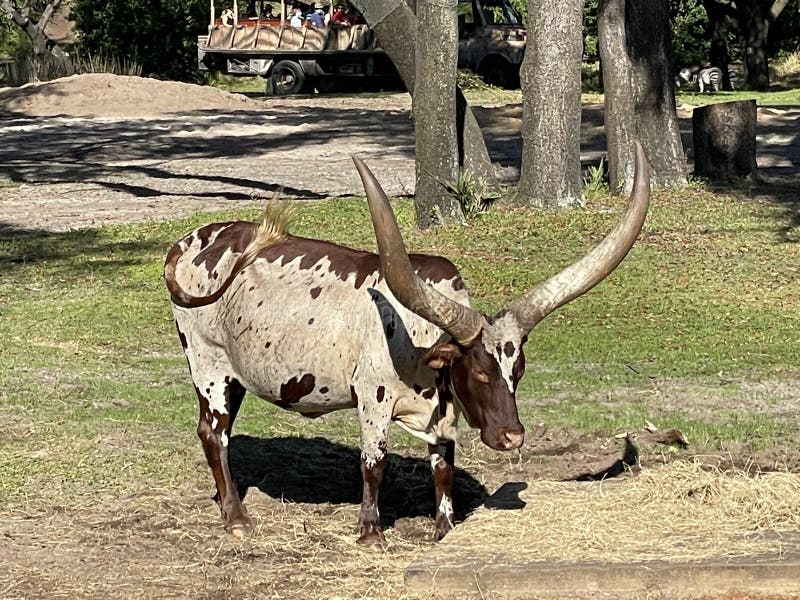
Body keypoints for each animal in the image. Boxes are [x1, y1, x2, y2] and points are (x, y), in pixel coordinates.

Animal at [166, 143, 652, 540]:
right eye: (480, 372)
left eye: (518, 370)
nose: (512, 437)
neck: (417, 339)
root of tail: (191, 240)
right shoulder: (373, 399)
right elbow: (374, 463)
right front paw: (370, 531)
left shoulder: (444, 417)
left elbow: (444, 467)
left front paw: (446, 528)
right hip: (209, 367)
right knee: (214, 433)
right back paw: (236, 518)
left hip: (234, 377)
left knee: (219, 432)